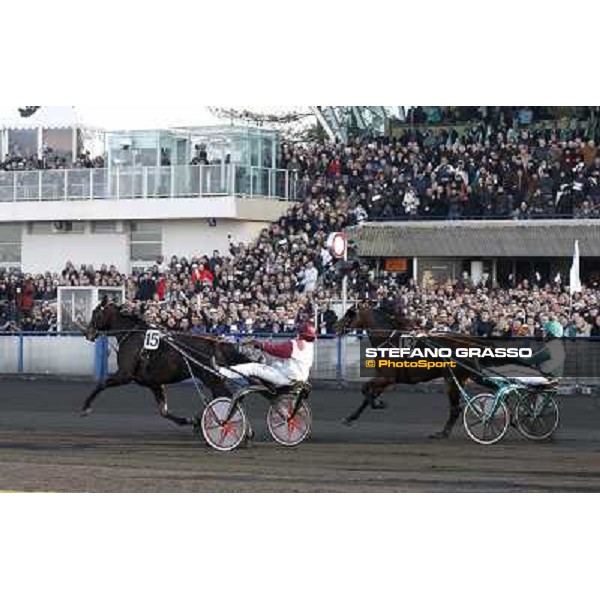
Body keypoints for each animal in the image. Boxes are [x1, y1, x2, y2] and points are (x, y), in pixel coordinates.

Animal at [82, 298, 251, 424]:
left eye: (96, 313)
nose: (88, 333)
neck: (131, 335)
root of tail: (215, 341)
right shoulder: (153, 383)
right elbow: (164, 411)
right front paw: (192, 421)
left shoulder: (124, 375)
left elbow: (101, 384)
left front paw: (85, 407)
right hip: (214, 379)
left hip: (211, 379)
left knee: (229, 398)